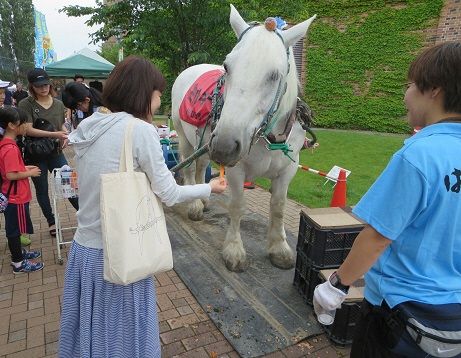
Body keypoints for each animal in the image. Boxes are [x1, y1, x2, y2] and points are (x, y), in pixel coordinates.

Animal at [172, 4, 316, 272]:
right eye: (227, 66)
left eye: (274, 75)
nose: (225, 146)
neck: (269, 137)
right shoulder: (235, 170)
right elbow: (237, 206)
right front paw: (234, 249)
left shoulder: (287, 171)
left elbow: (278, 207)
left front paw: (278, 247)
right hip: (188, 140)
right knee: (188, 169)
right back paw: (195, 205)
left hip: (204, 143)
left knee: (201, 166)